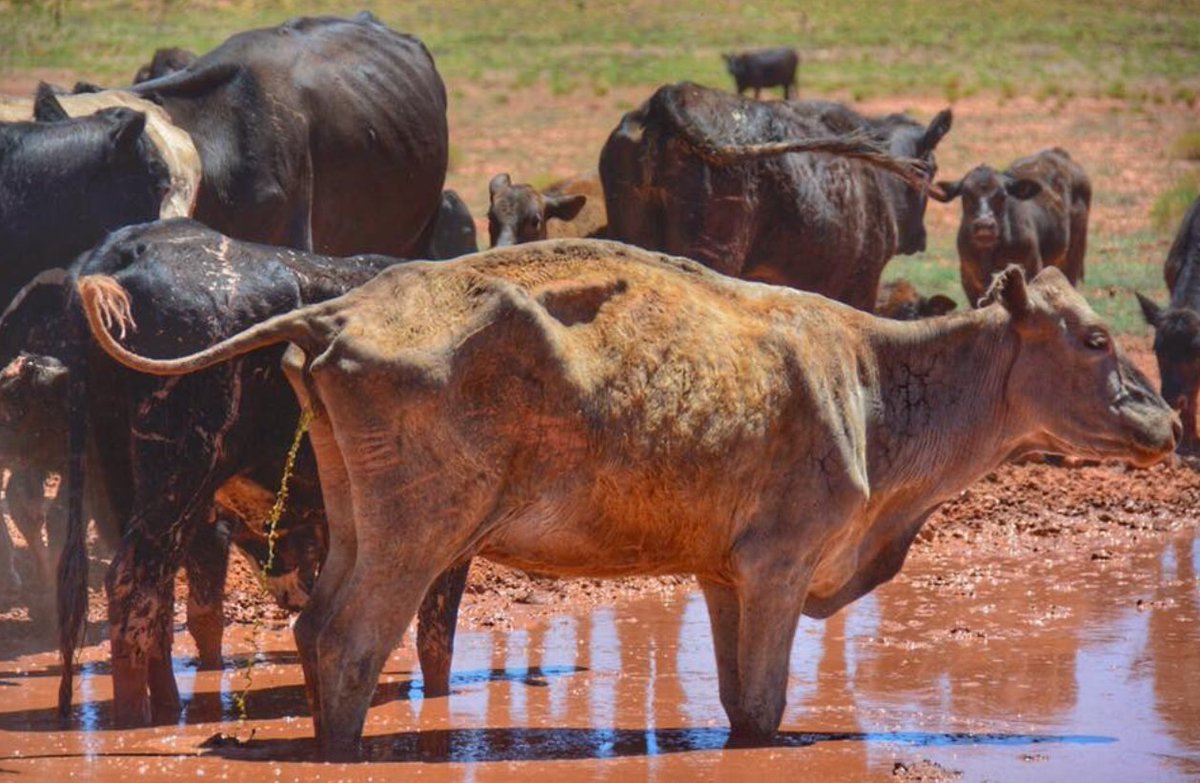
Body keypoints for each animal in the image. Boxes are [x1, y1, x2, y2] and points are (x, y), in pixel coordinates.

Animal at [72, 241, 1171, 754]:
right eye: (1095, 340)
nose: (1165, 421)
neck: (868, 381)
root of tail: (340, 307)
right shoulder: (780, 564)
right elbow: (764, 712)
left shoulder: (729, 573)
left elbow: (741, 702)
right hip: (414, 532)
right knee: (343, 638)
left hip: (359, 518)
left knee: (316, 631)